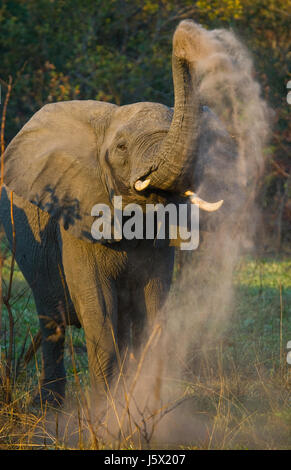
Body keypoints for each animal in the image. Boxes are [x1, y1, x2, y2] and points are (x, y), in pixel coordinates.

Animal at [0, 20, 242, 406]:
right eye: (122, 147)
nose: (185, 32)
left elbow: (152, 306)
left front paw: (140, 405)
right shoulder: (77, 218)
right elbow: (99, 311)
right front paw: (106, 410)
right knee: (52, 320)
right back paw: (49, 406)